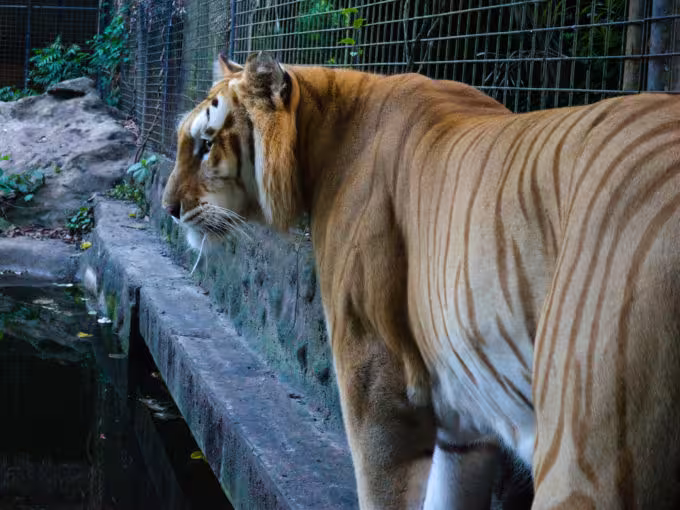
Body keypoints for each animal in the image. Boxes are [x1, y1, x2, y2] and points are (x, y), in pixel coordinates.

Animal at [162, 51, 680, 509]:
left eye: (205, 144)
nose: (168, 209)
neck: (319, 125)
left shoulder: (376, 389)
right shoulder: (462, 425)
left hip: (590, 454)